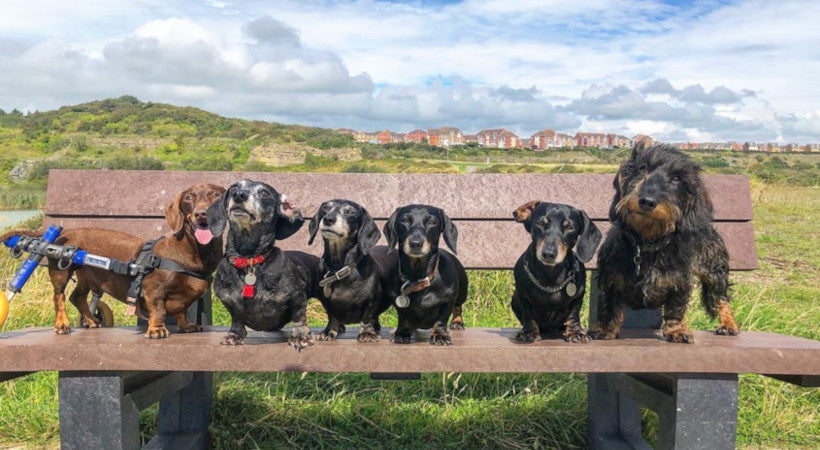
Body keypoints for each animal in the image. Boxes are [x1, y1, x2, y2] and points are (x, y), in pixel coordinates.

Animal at [592, 146, 740, 342]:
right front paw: (605, 330)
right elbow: (610, 307)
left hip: (714, 272)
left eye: (677, 178)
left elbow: (675, 309)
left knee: (721, 299)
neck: (647, 244)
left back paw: (728, 325)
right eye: (642, 169)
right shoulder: (610, 280)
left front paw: (676, 330)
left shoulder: (679, 282)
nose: (647, 201)